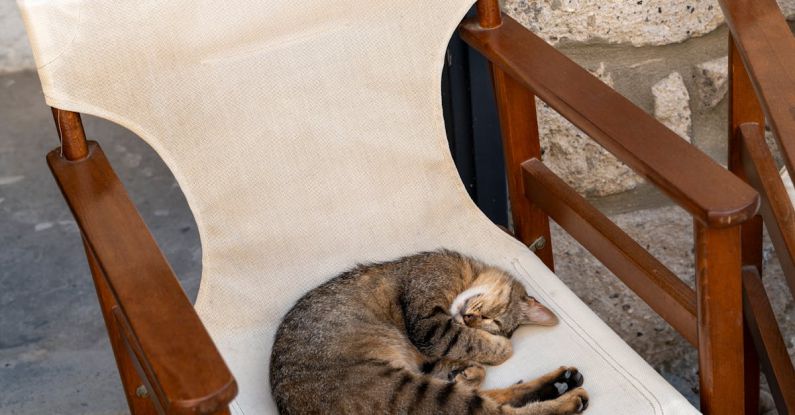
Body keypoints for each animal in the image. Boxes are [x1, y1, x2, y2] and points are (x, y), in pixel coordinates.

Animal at [270, 250, 588, 415]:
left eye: (493, 321)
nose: (470, 318)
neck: (465, 274)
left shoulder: (429, 350)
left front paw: (467, 368)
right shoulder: (430, 324)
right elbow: (476, 343)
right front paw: (496, 349)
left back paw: (561, 382)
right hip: (409, 392)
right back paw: (567, 396)